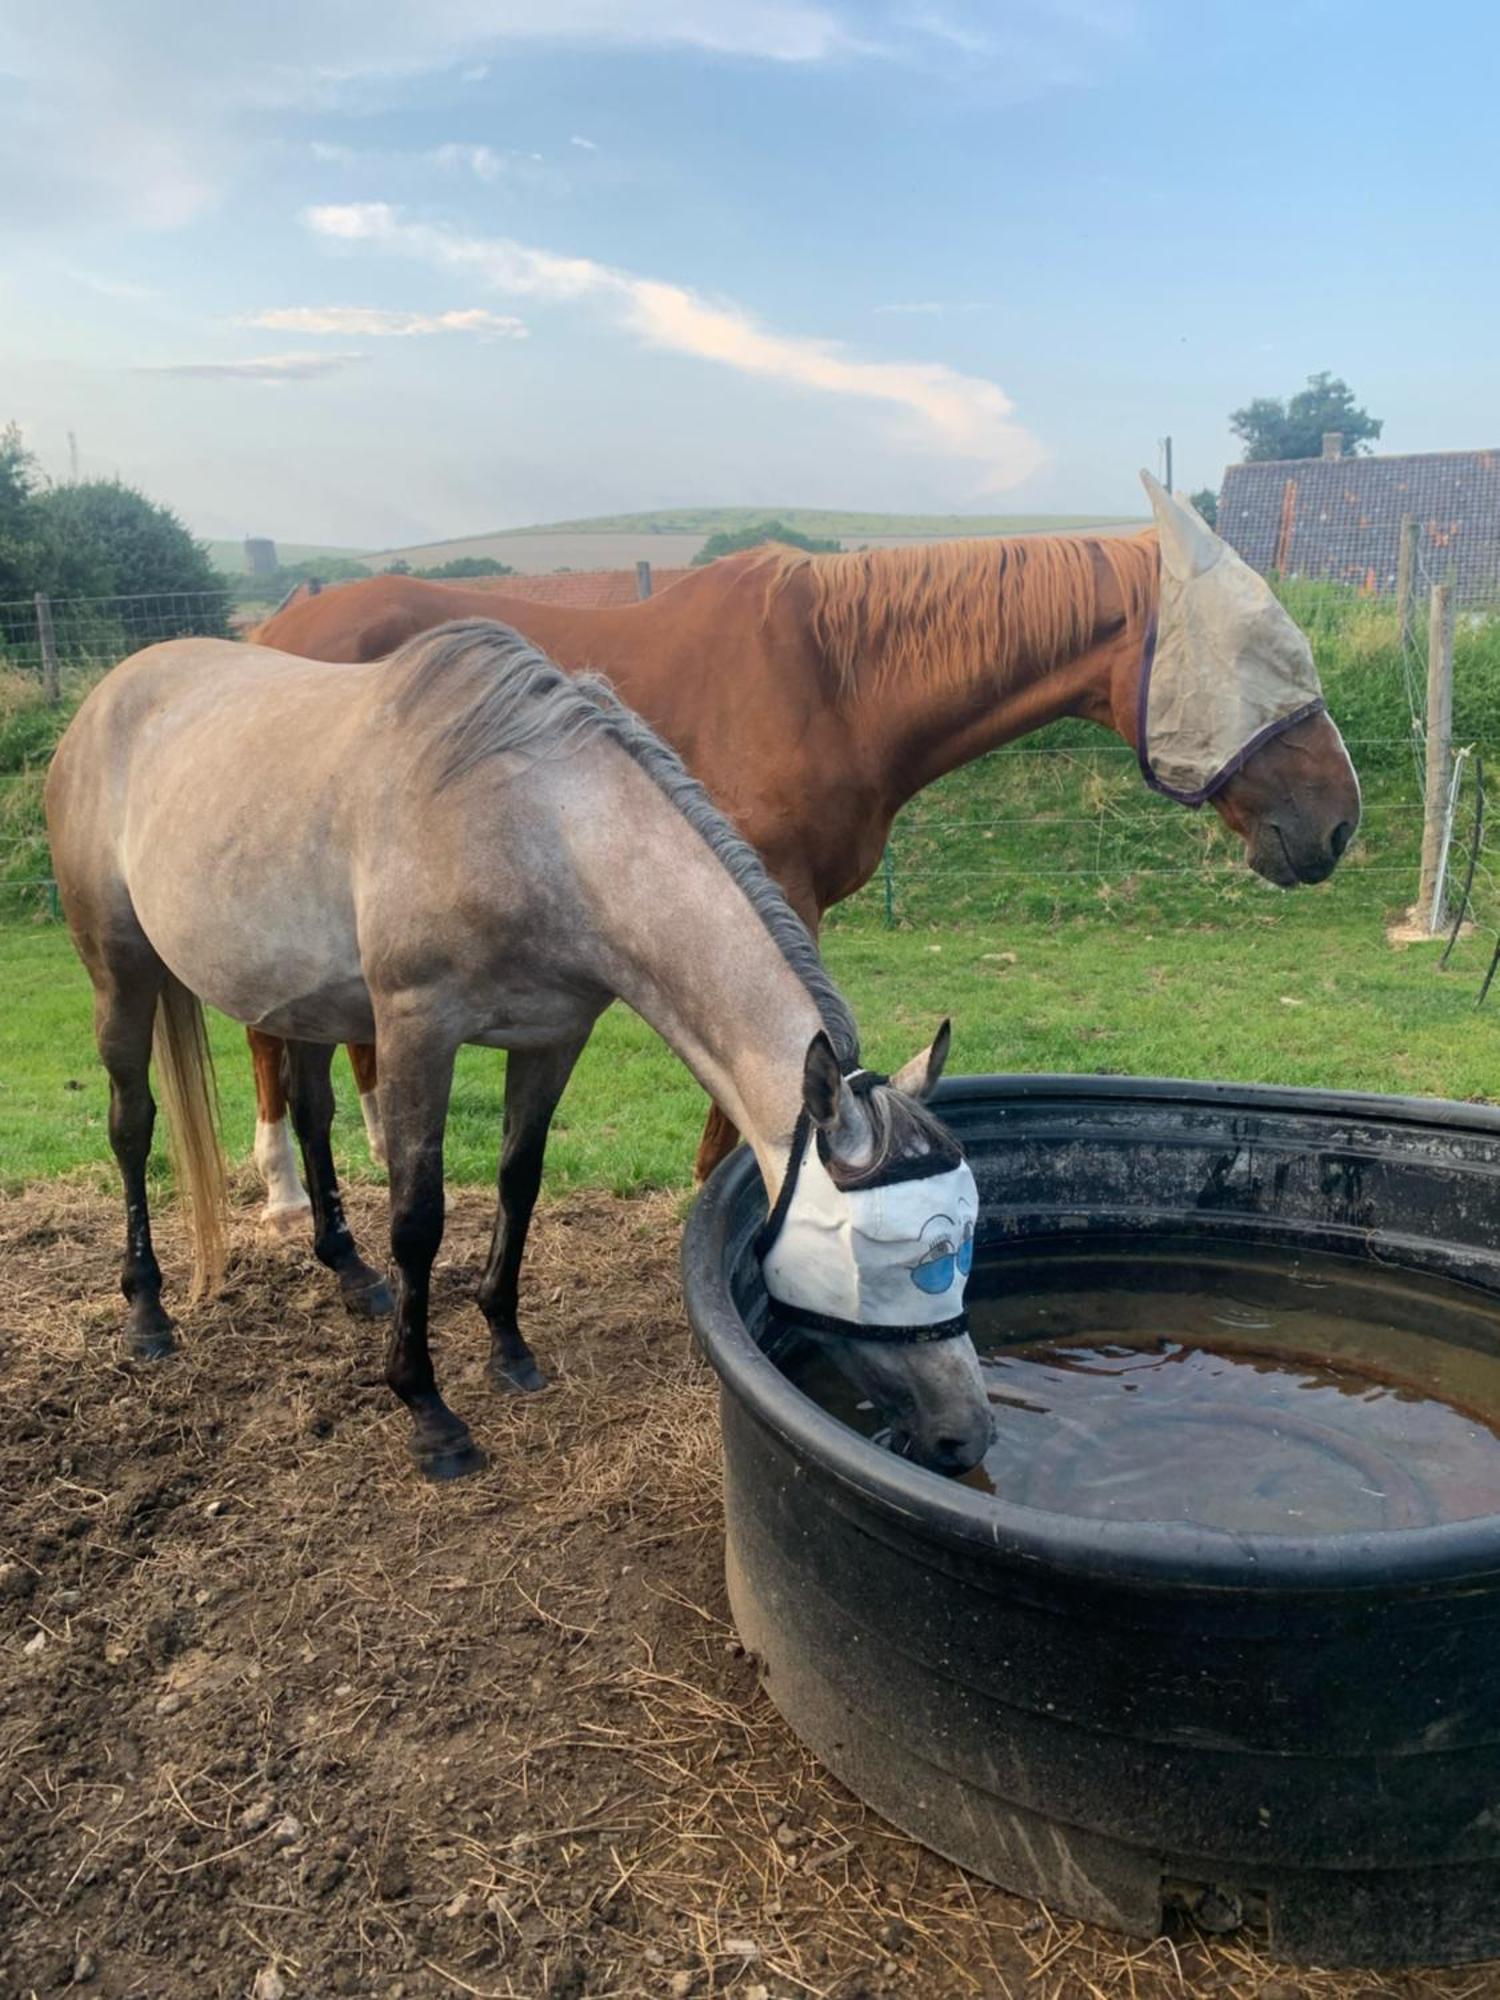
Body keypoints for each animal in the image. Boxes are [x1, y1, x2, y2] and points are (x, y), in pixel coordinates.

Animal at [250, 532, 1360, 1208]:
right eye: (1260, 659)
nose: (1339, 822)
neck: (834, 681)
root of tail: (271, 627)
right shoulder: (760, 902)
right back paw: (284, 1190)